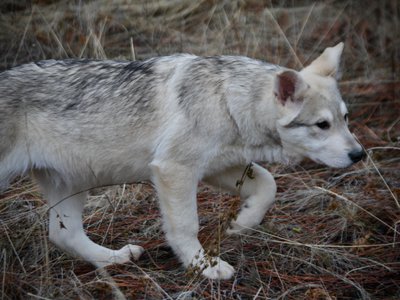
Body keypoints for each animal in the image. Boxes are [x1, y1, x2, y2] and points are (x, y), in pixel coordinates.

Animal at [0, 43, 362, 280]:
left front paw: (242, 223)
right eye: (322, 125)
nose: (359, 154)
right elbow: (186, 226)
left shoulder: (219, 168)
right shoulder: (174, 170)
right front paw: (204, 267)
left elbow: (268, 186)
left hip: (71, 184)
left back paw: (116, 259)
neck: (228, 101)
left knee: (64, 236)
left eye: (346, 119)